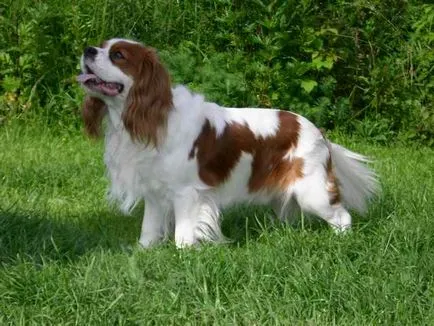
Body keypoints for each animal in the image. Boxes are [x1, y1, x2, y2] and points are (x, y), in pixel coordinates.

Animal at [79, 38, 380, 247]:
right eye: (101, 46)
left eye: (118, 55)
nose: (87, 50)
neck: (151, 119)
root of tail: (318, 132)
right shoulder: (154, 192)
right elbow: (149, 230)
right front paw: (144, 251)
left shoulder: (187, 192)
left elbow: (182, 235)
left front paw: (183, 255)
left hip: (312, 191)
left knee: (342, 216)